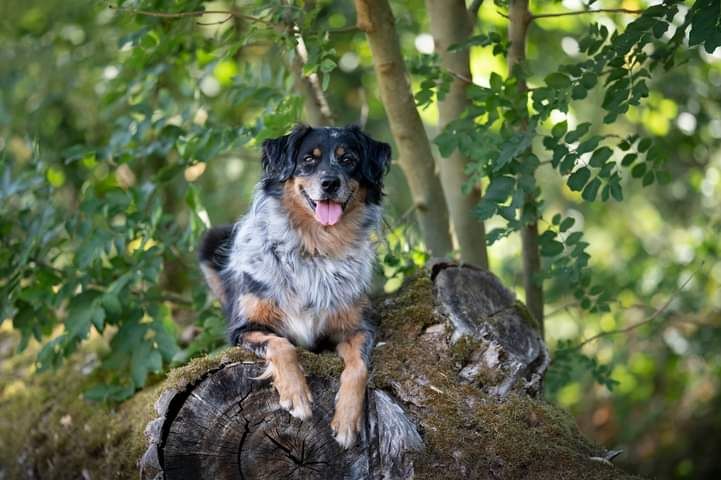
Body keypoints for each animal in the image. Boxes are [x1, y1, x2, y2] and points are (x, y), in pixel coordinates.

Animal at [198, 124, 391, 448]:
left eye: (348, 159)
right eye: (308, 160)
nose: (330, 183)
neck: (315, 248)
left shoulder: (358, 327)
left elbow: (359, 367)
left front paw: (347, 421)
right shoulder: (243, 328)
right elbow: (280, 344)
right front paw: (296, 396)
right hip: (210, 240)